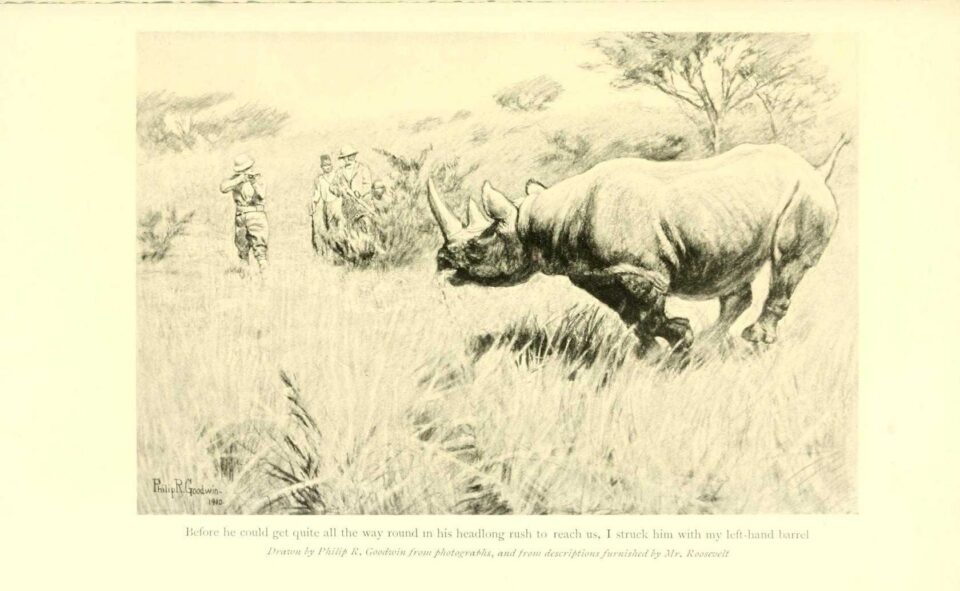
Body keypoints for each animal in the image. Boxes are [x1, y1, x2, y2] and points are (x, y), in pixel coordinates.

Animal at [426, 136, 850, 354]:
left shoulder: (643, 270)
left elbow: (646, 309)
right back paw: (710, 346)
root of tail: (814, 168)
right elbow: (629, 312)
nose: (441, 260)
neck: (539, 222)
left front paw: (678, 337)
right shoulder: (591, 272)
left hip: (805, 196)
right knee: (733, 274)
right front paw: (656, 348)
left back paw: (751, 340)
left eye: (477, 248)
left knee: (788, 261)